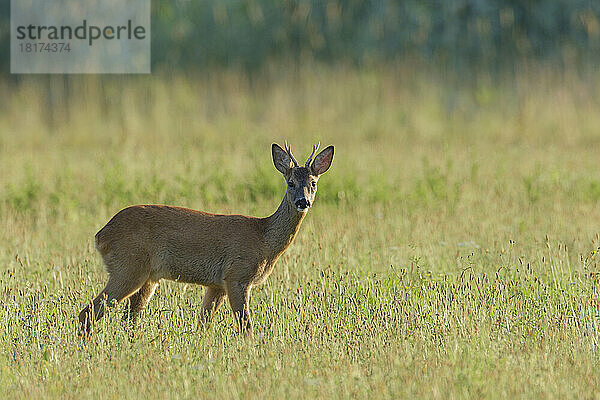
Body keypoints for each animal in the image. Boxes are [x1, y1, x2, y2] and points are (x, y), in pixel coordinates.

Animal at [77, 142, 332, 336]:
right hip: (129, 266)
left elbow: (203, 324)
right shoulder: (237, 275)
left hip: (148, 276)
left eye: (313, 183)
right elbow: (246, 326)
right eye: (290, 182)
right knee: (88, 312)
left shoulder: (216, 284)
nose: (303, 201)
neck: (264, 239)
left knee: (130, 317)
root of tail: (101, 235)